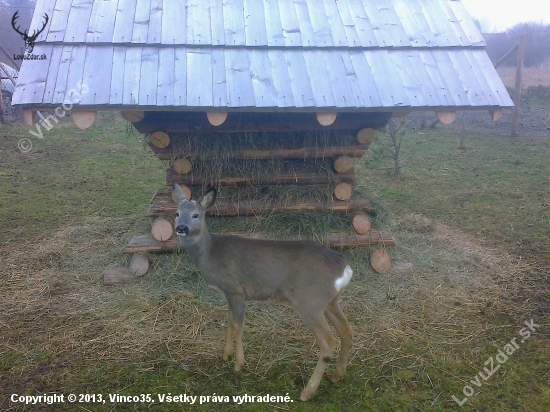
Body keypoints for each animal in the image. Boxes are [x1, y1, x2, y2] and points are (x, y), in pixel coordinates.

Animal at [172, 184, 354, 402]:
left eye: (196, 215)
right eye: (177, 213)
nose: (181, 228)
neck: (209, 254)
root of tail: (346, 268)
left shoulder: (235, 290)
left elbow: (238, 325)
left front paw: (238, 364)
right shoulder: (228, 295)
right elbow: (229, 321)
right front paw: (226, 354)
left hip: (309, 301)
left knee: (328, 342)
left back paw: (307, 392)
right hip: (330, 301)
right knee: (347, 331)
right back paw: (337, 376)